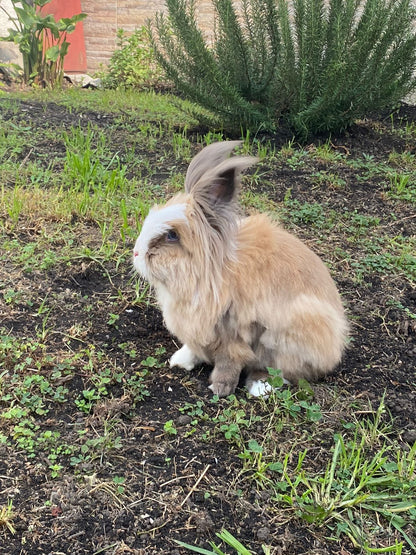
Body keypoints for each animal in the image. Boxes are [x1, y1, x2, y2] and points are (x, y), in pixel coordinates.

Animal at [133, 141, 348, 398]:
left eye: (172, 235)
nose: (136, 253)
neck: (209, 274)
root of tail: (336, 346)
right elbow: (194, 348)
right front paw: (179, 361)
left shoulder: (235, 333)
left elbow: (230, 360)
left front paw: (219, 388)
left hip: (290, 331)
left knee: (282, 368)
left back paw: (259, 387)